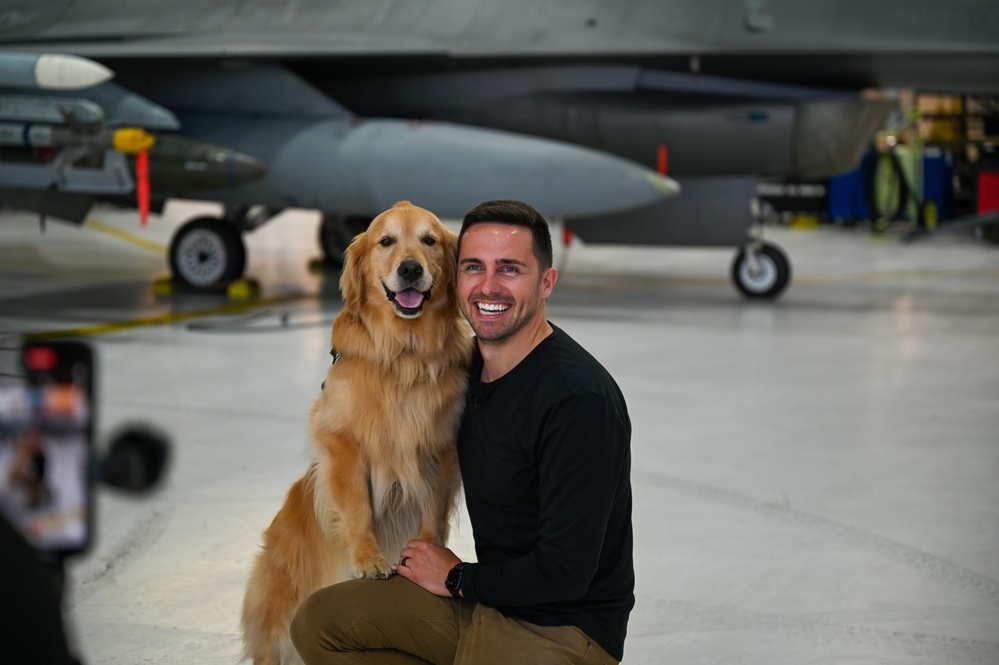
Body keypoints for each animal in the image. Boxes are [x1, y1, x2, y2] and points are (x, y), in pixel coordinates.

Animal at [243, 202, 476, 664]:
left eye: (429, 240)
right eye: (385, 241)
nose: (409, 269)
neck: (406, 355)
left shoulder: (442, 448)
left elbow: (432, 507)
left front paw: (427, 555)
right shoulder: (344, 444)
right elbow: (357, 506)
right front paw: (368, 560)